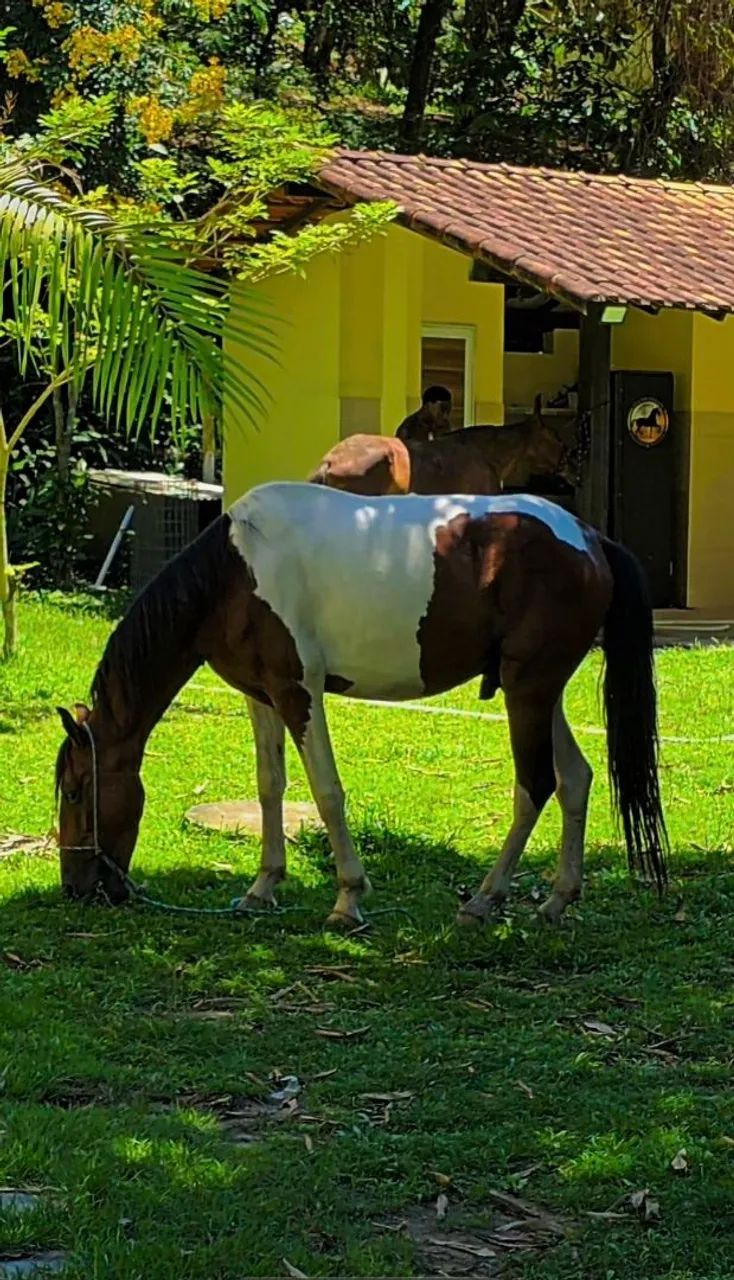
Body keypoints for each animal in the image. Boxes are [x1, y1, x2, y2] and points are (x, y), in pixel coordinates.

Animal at [55, 483, 667, 930]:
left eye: (77, 790)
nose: (75, 887)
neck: (234, 572)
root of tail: (589, 538)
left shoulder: (298, 692)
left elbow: (326, 792)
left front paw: (347, 899)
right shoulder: (262, 697)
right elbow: (270, 786)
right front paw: (262, 888)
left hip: (528, 689)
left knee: (535, 785)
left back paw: (484, 900)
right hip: (539, 691)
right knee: (575, 779)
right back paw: (557, 899)